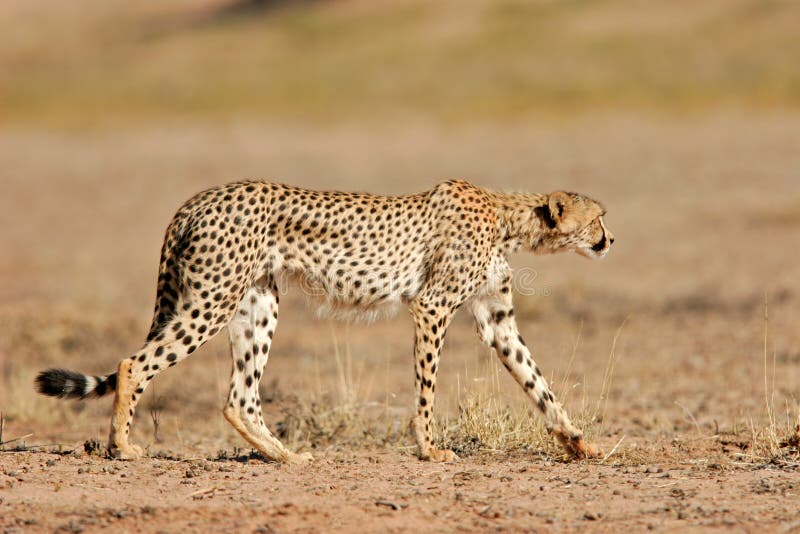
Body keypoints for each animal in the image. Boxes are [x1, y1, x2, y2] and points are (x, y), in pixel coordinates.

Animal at [36, 180, 612, 464]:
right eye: (599, 217)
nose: (611, 240)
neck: (508, 218)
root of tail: (199, 198)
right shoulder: (432, 307)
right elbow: (427, 389)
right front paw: (428, 449)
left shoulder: (497, 319)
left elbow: (538, 381)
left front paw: (577, 442)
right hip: (211, 301)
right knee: (134, 363)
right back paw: (122, 448)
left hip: (257, 305)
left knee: (239, 397)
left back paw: (286, 458)